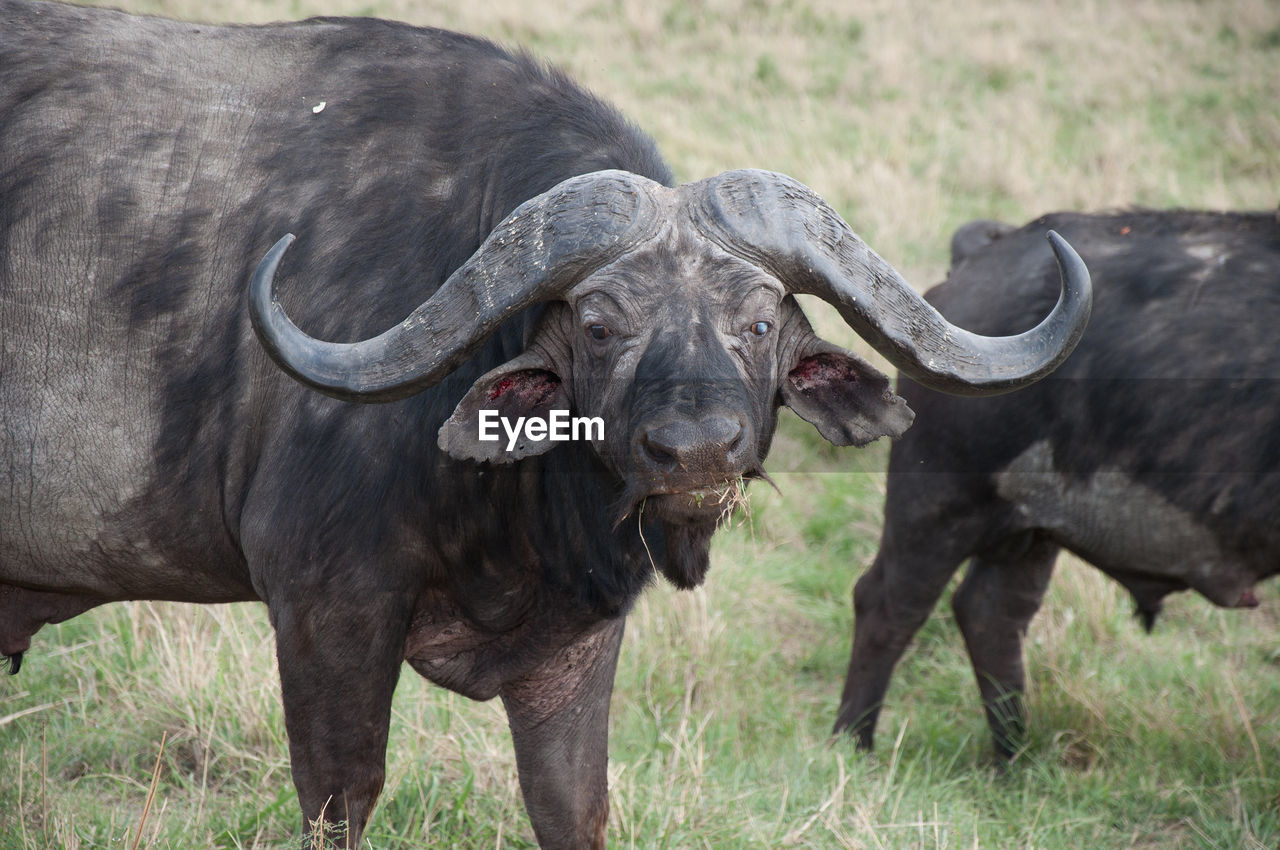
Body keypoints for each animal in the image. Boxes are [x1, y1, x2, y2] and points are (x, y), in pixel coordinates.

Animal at [0, 0, 1090, 844]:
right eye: (600, 326)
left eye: (760, 323)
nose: (695, 453)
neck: (511, 514)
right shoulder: (323, 607)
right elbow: (341, 798)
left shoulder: (576, 646)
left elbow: (573, 805)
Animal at [834, 208, 1274, 757]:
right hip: (938, 504)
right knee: (888, 605)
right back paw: (852, 744)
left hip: (1032, 528)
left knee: (990, 613)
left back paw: (1013, 759)